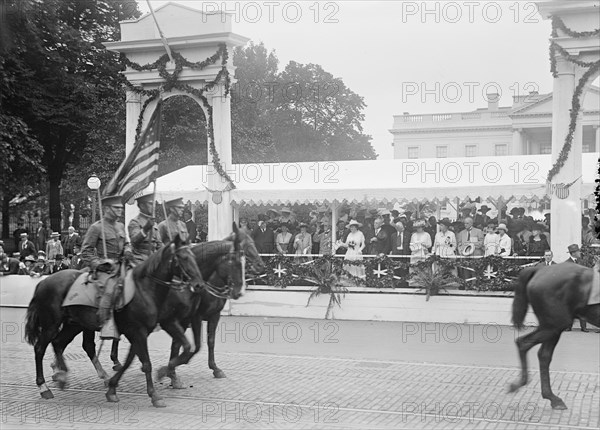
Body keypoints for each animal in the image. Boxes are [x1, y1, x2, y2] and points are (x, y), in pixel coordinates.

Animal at [24, 235, 206, 406]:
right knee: (40, 348)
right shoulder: (138, 331)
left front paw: (112, 388)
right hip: (51, 325)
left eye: (193, 256)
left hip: (74, 325)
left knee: (59, 344)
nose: (199, 285)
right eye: (182, 257)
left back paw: (63, 376)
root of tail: (43, 282)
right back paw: (44, 387)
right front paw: (155, 395)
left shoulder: (145, 331)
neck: (144, 290)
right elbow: (146, 362)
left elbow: (131, 361)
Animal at [508, 262, 596, 410]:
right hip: (555, 325)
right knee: (524, 343)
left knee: (543, 355)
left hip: (552, 327)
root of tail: (540, 269)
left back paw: (551, 397)